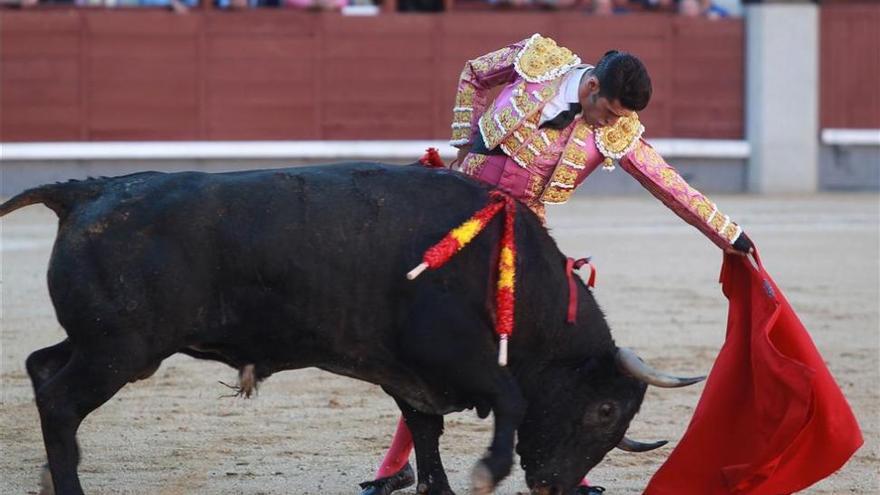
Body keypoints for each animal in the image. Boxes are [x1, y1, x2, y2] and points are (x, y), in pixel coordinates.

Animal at [0, 163, 700, 495]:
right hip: (120, 350)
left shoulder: (411, 374)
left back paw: (49, 475)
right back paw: (69, 487)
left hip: (105, 345)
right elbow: (509, 399)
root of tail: (88, 191)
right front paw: (485, 473)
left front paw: (441, 488)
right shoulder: (450, 354)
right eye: (604, 410)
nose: (554, 485)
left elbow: (425, 430)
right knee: (59, 398)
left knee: (41, 366)